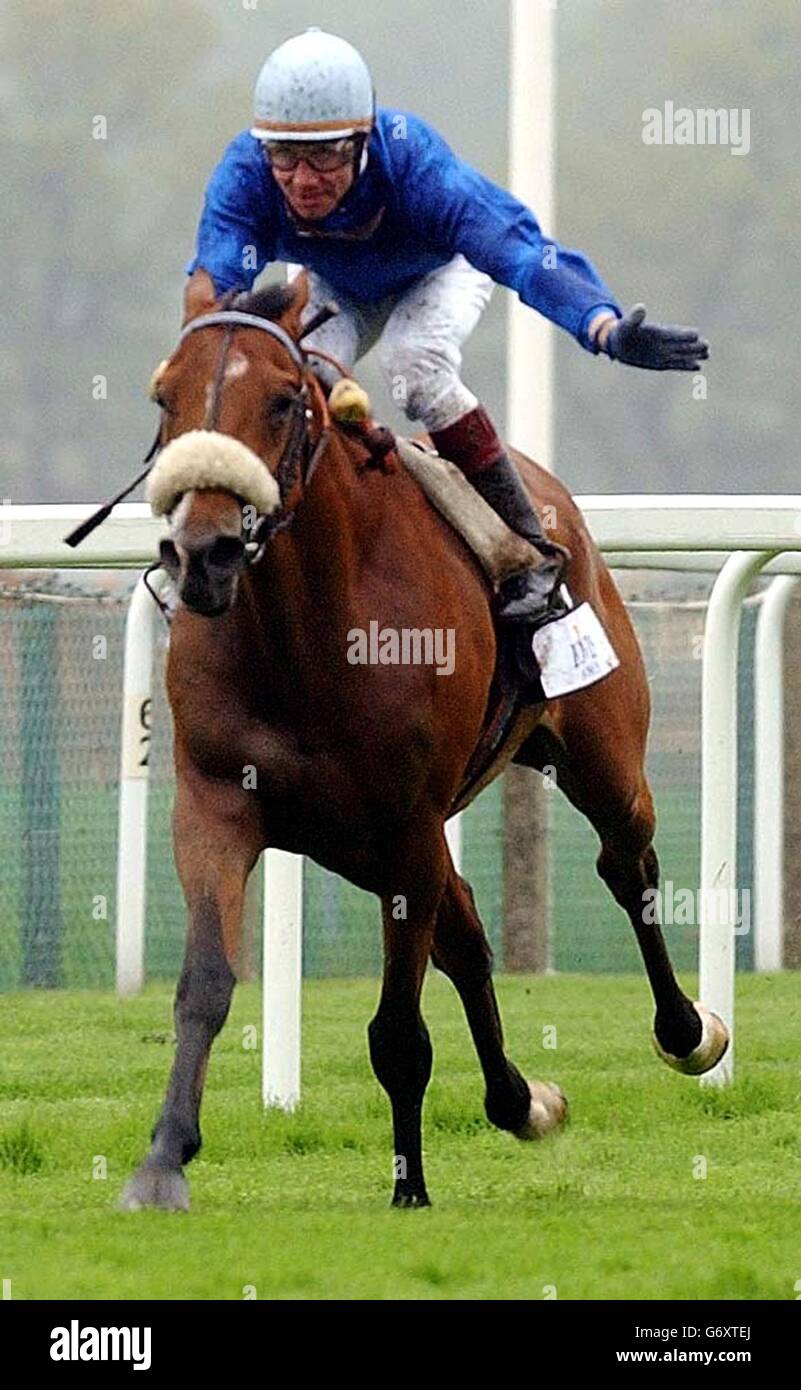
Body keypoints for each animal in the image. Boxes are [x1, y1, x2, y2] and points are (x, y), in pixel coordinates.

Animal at [118, 276, 723, 1212]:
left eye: (284, 401)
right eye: (164, 398)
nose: (204, 553)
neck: (303, 635)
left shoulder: (404, 829)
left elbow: (397, 1028)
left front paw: (410, 1188)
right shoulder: (217, 806)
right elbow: (205, 986)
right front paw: (163, 1160)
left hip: (598, 755)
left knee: (627, 867)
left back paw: (686, 1031)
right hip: (363, 837)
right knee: (467, 930)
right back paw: (520, 1100)